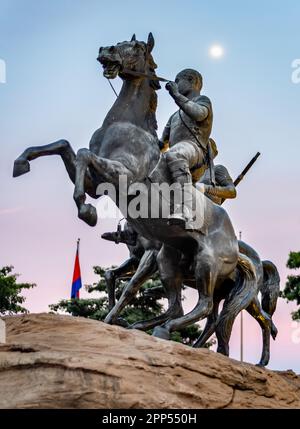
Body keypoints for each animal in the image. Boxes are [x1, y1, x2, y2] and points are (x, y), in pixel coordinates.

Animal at [13, 33, 255, 342]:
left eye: (137, 47)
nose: (105, 50)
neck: (126, 125)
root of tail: (235, 241)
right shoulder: (96, 182)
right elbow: (65, 146)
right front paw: (21, 162)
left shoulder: (122, 175)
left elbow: (82, 154)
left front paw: (87, 211)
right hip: (169, 258)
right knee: (177, 306)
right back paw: (140, 326)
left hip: (206, 263)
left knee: (205, 306)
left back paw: (159, 328)